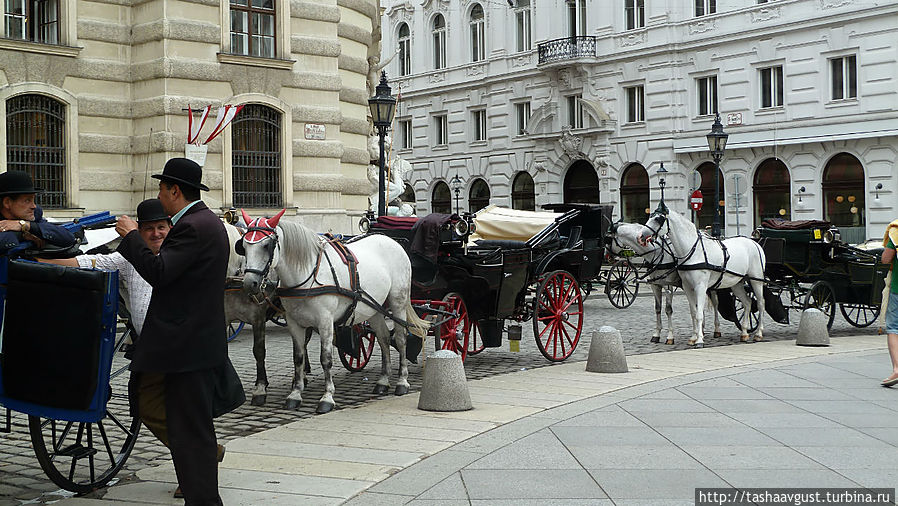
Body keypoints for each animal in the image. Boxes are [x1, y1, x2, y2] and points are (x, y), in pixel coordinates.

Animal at [238, 209, 428, 412]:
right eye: (243, 246)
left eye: (267, 245)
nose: (250, 284)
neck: (307, 274)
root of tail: (391, 241)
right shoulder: (294, 322)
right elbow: (298, 357)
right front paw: (295, 394)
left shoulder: (325, 321)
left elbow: (326, 358)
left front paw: (327, 397)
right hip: (374, 308)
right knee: (384, 338)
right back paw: (383, 381)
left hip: (398, 302)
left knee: (400, 339)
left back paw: (402, 381)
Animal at [636, 208, 764, 346]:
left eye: (658, 219)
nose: (640, 236)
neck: (694, 251)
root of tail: (754, 243)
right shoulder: (686, 287)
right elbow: (693, 312)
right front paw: (693, 337)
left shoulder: (700, 287)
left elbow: (698, 313)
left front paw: (699, 340)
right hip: (737, 283)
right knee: (747, 302)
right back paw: (744, 333)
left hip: (756, 280)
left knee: (760, 303)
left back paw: (758, 334)